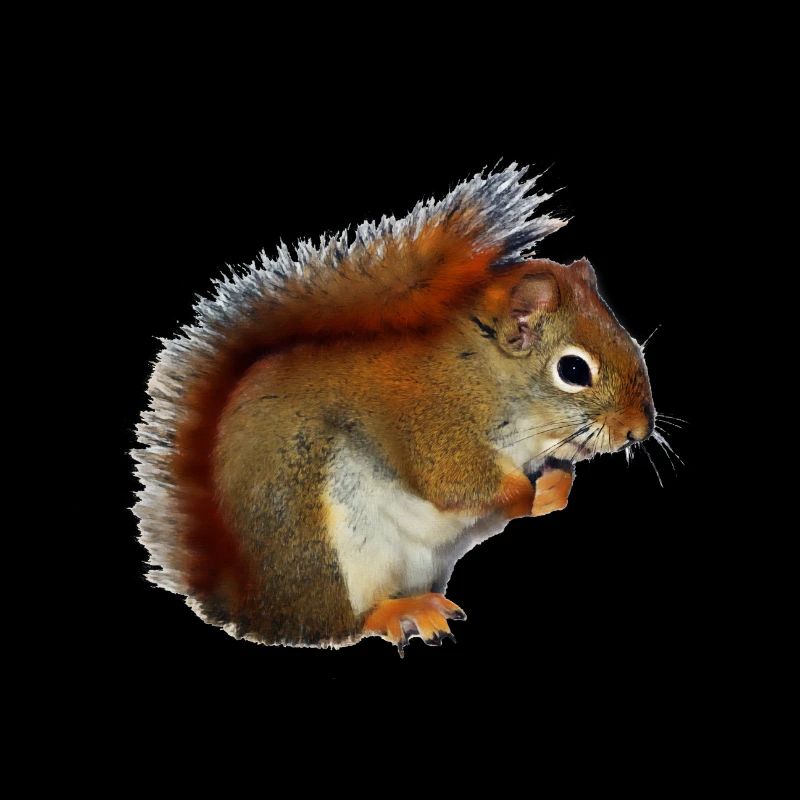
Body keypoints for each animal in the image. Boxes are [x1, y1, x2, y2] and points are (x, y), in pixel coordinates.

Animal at [133, 163, 655, 653]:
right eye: (573, 370)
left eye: (631, 342)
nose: (638, 431)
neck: (484, 376)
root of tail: (253, 606)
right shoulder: (431, 421)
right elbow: (456, 482)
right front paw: (528, 494)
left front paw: (558, 486)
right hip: (324, 545)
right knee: (342, 622)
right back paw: (399, 613)